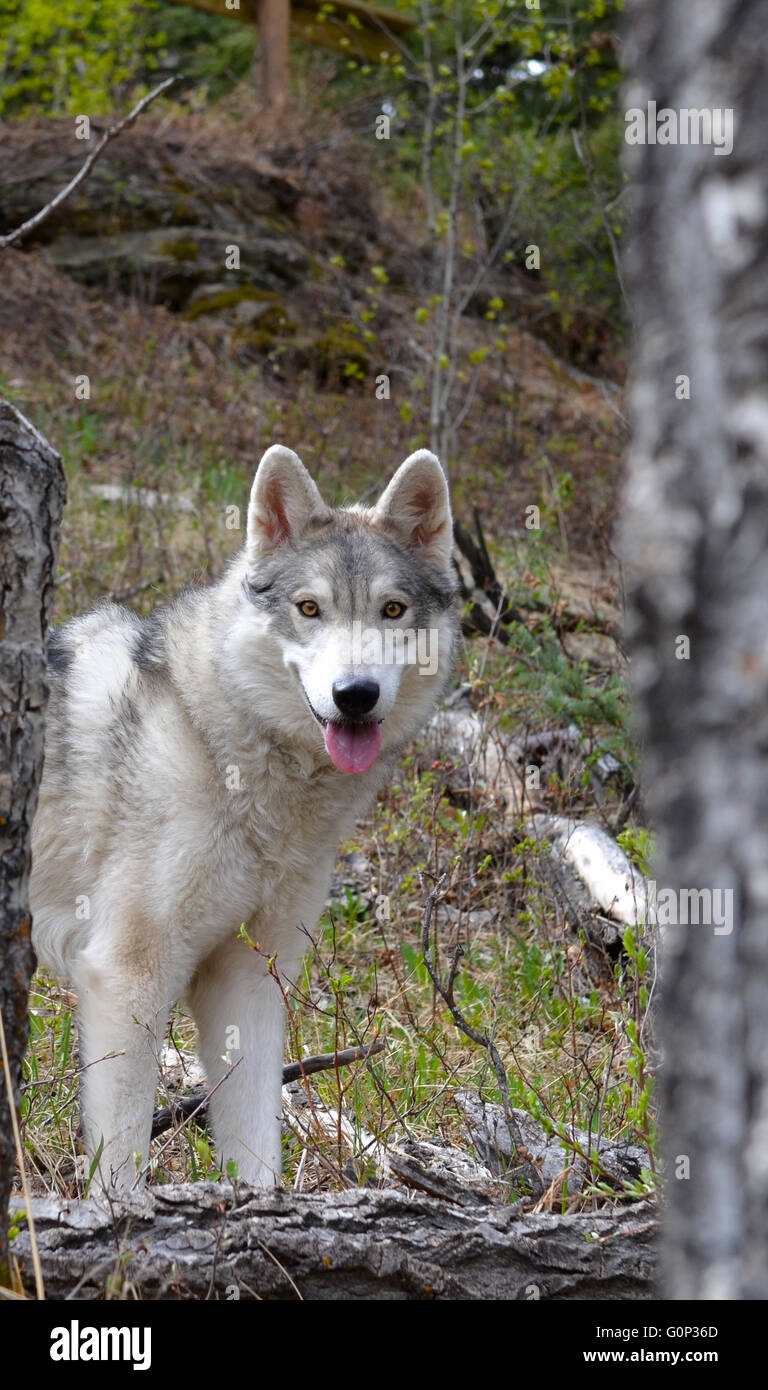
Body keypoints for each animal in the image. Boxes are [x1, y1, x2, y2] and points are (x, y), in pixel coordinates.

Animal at [30, 446, 457, 1190]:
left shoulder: (248, 985)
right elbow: (122, 1163)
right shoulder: (127, 977)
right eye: (309, 608)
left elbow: (258, 1152)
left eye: (392, 610)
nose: (354, 695)